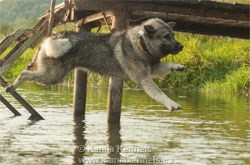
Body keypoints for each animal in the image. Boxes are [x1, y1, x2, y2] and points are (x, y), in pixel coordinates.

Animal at [6, 18, 185, 111]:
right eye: (166, 36)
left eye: (173, 35)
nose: (181, 46)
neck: (141, 44)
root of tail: (52, 38)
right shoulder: (144, 78)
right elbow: (159, 93)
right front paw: (171, 103)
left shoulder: (152, 69)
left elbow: (166, 65)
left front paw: (176, 66)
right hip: (52, 77)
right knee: (24, 73)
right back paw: (12, 86)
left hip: (49, 73)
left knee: (28, 69)